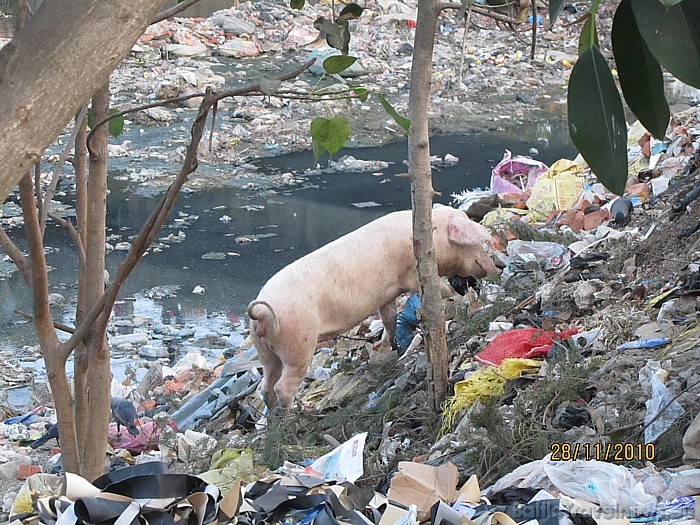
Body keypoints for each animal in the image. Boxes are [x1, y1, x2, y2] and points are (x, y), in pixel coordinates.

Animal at [246, 205, 498, 410]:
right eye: (482, 243)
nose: (497, 266)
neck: (433, 240)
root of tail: (262, 312)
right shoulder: (412, 275)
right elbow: (439, 287)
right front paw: (458, 297)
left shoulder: (387, 294)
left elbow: (389, 319)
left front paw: (388, 347)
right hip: (298, 343)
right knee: (282, 387)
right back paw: (296, 415)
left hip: (265, 349)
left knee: (265, 385)